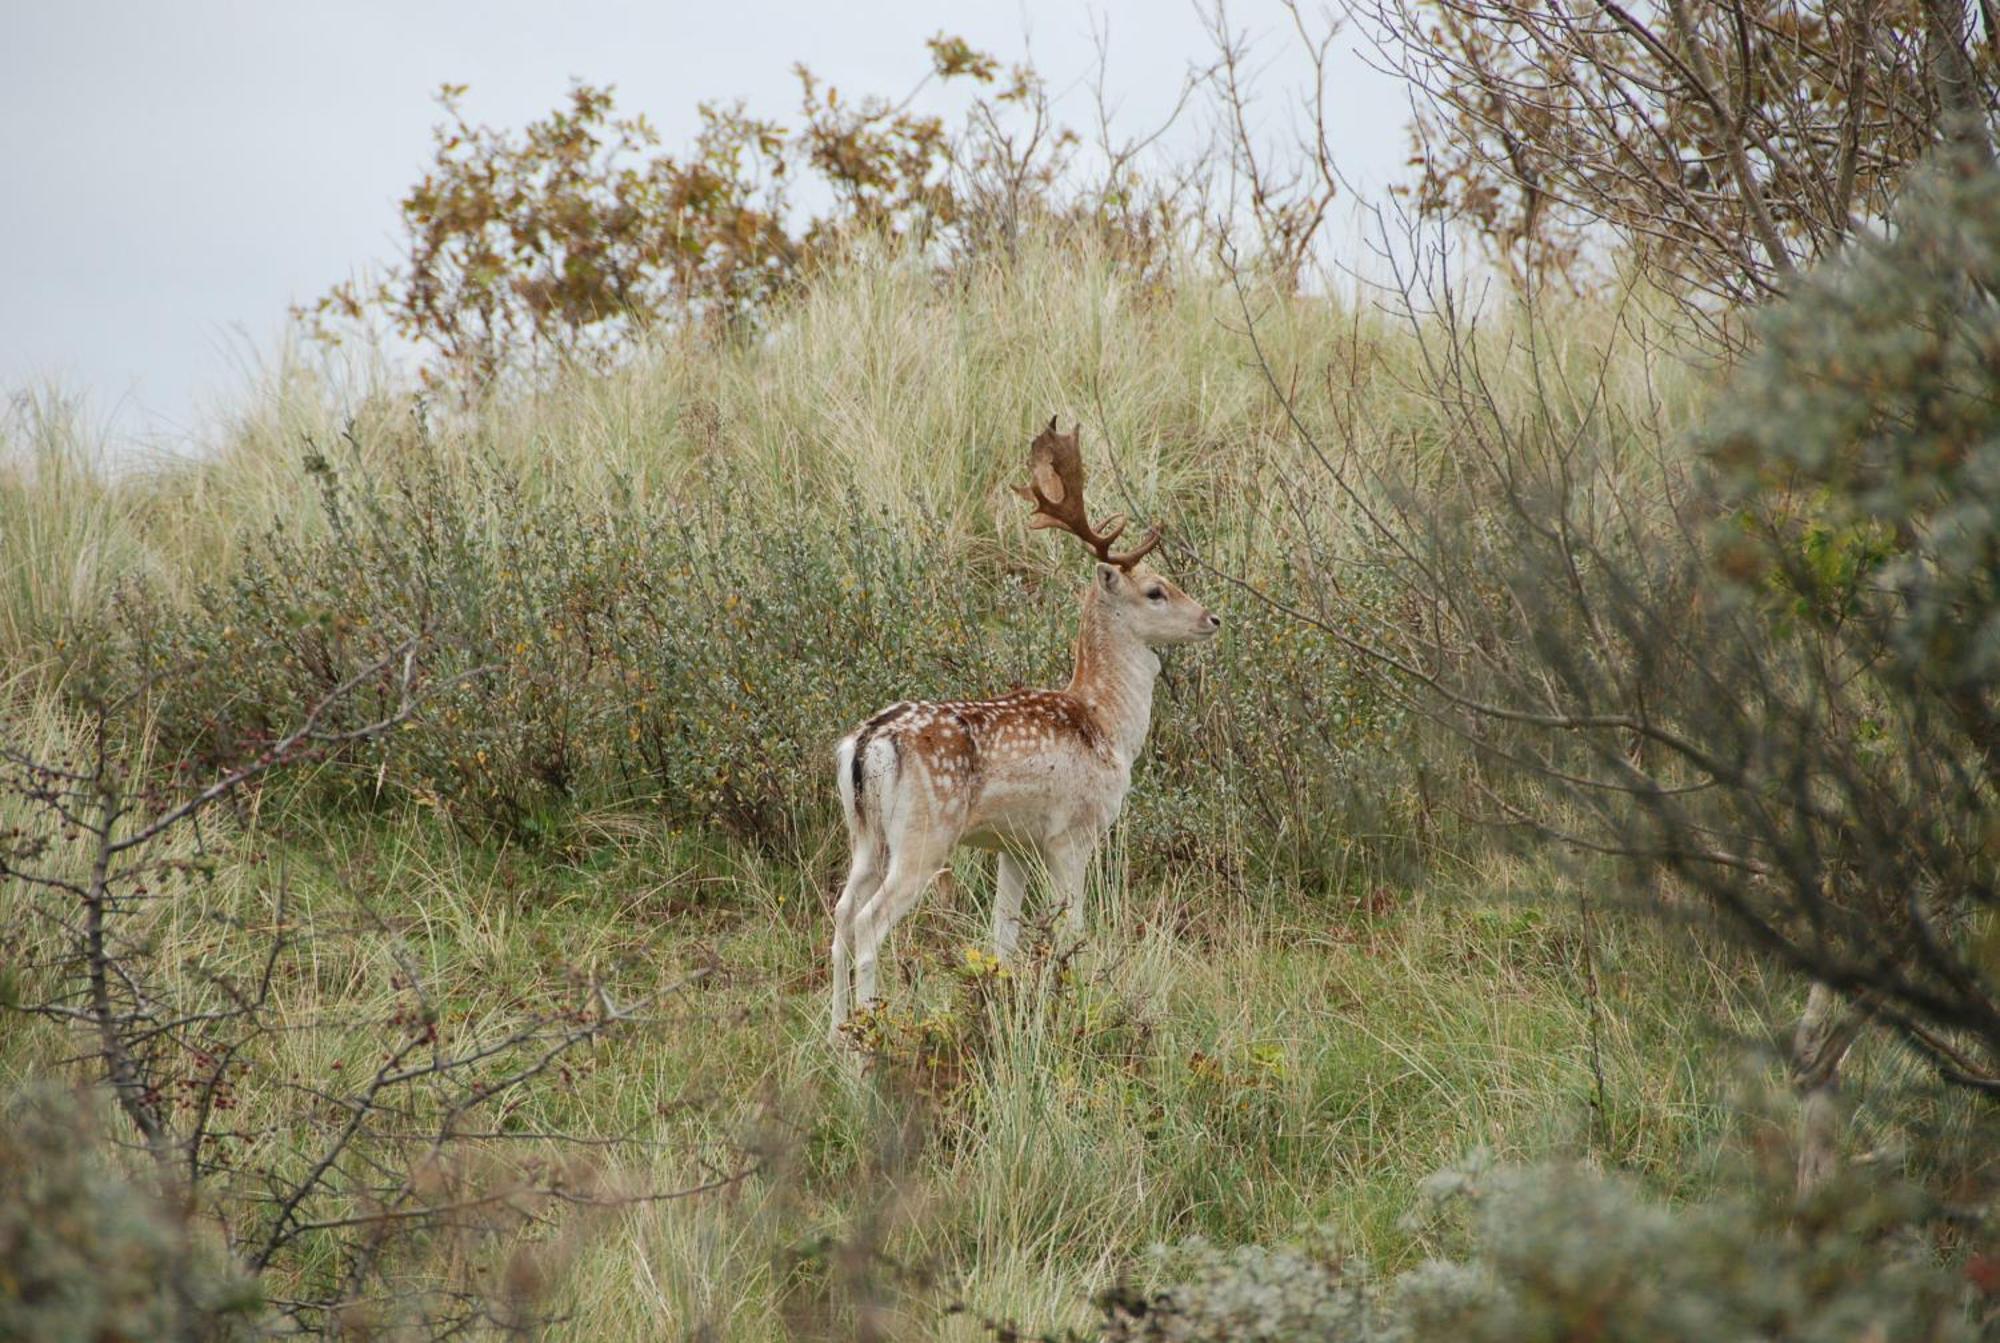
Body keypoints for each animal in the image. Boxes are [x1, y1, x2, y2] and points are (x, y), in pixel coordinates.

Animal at [828, 419, 1216, 1039]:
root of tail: (867, 744)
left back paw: (835, 1034)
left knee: (840, 914)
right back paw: (870, 1033)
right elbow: (1073, 930)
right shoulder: (1074, 834)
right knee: (869, 921)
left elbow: (1002, 936)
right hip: (924, 835)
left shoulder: (1012, 844)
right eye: (1156, 589)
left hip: (863, 833)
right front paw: (1078, 1003)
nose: (1212, 618)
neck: (1107, 723)